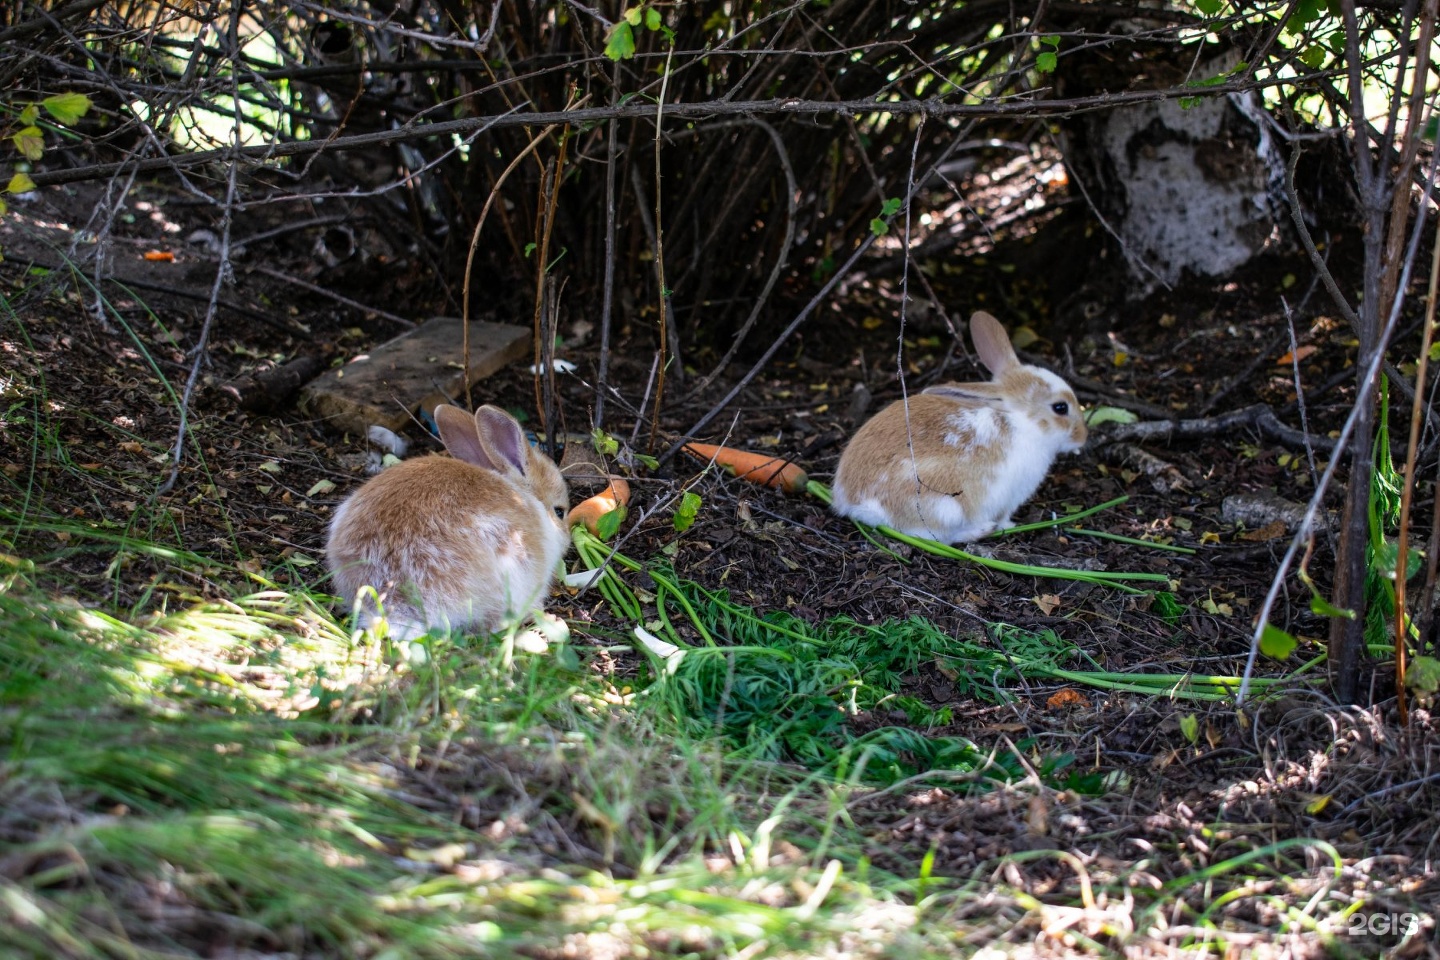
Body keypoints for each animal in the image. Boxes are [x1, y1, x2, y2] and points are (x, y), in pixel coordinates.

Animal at [829, 312, 1082, 544]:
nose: (1083, 437)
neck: (1022, 420)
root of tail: (854, 502)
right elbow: (1004, 515)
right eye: (1060, 407)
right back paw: (982, 530)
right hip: (947, 507)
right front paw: (1009, 525)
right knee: (938, 537)